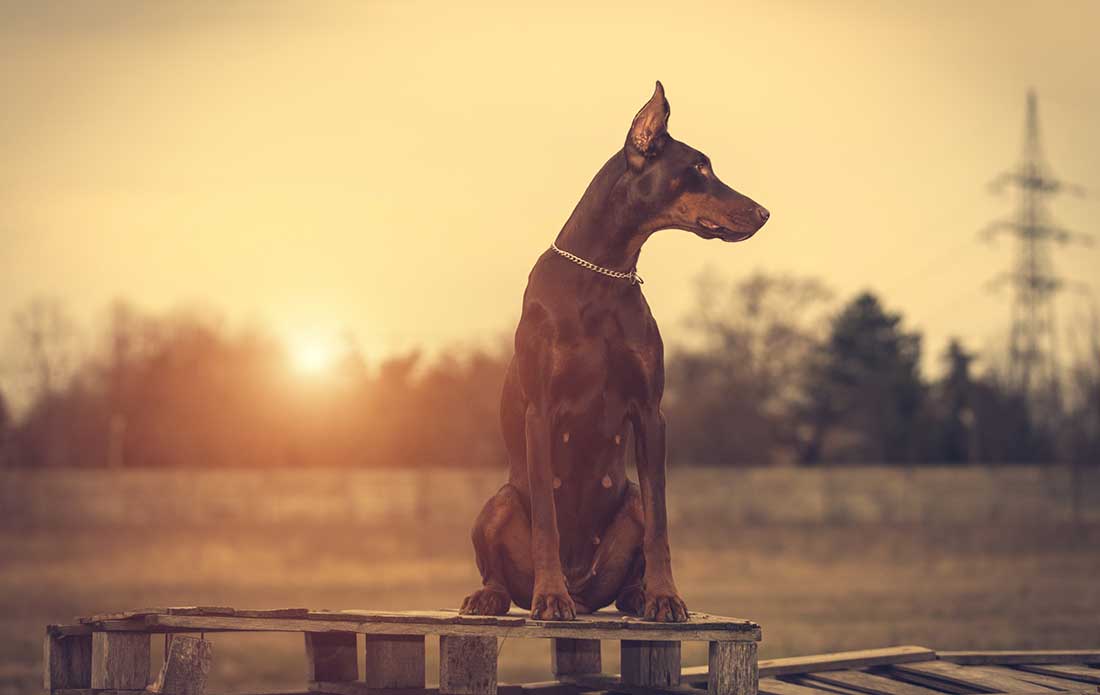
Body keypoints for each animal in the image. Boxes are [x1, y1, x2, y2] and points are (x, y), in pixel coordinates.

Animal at [459, 83, 770, 624]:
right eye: (700, 167)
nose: (764, 212)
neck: (604, 273)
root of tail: (586, 592)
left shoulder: (650, 411)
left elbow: (662, 525)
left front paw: (666, 597)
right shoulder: (540, 411)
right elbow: (546, 521)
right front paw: (549, 598)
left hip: (631, 503)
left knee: (637, 543)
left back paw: (636, 594)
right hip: (496, 503)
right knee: (499, 563)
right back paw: (496, 596)